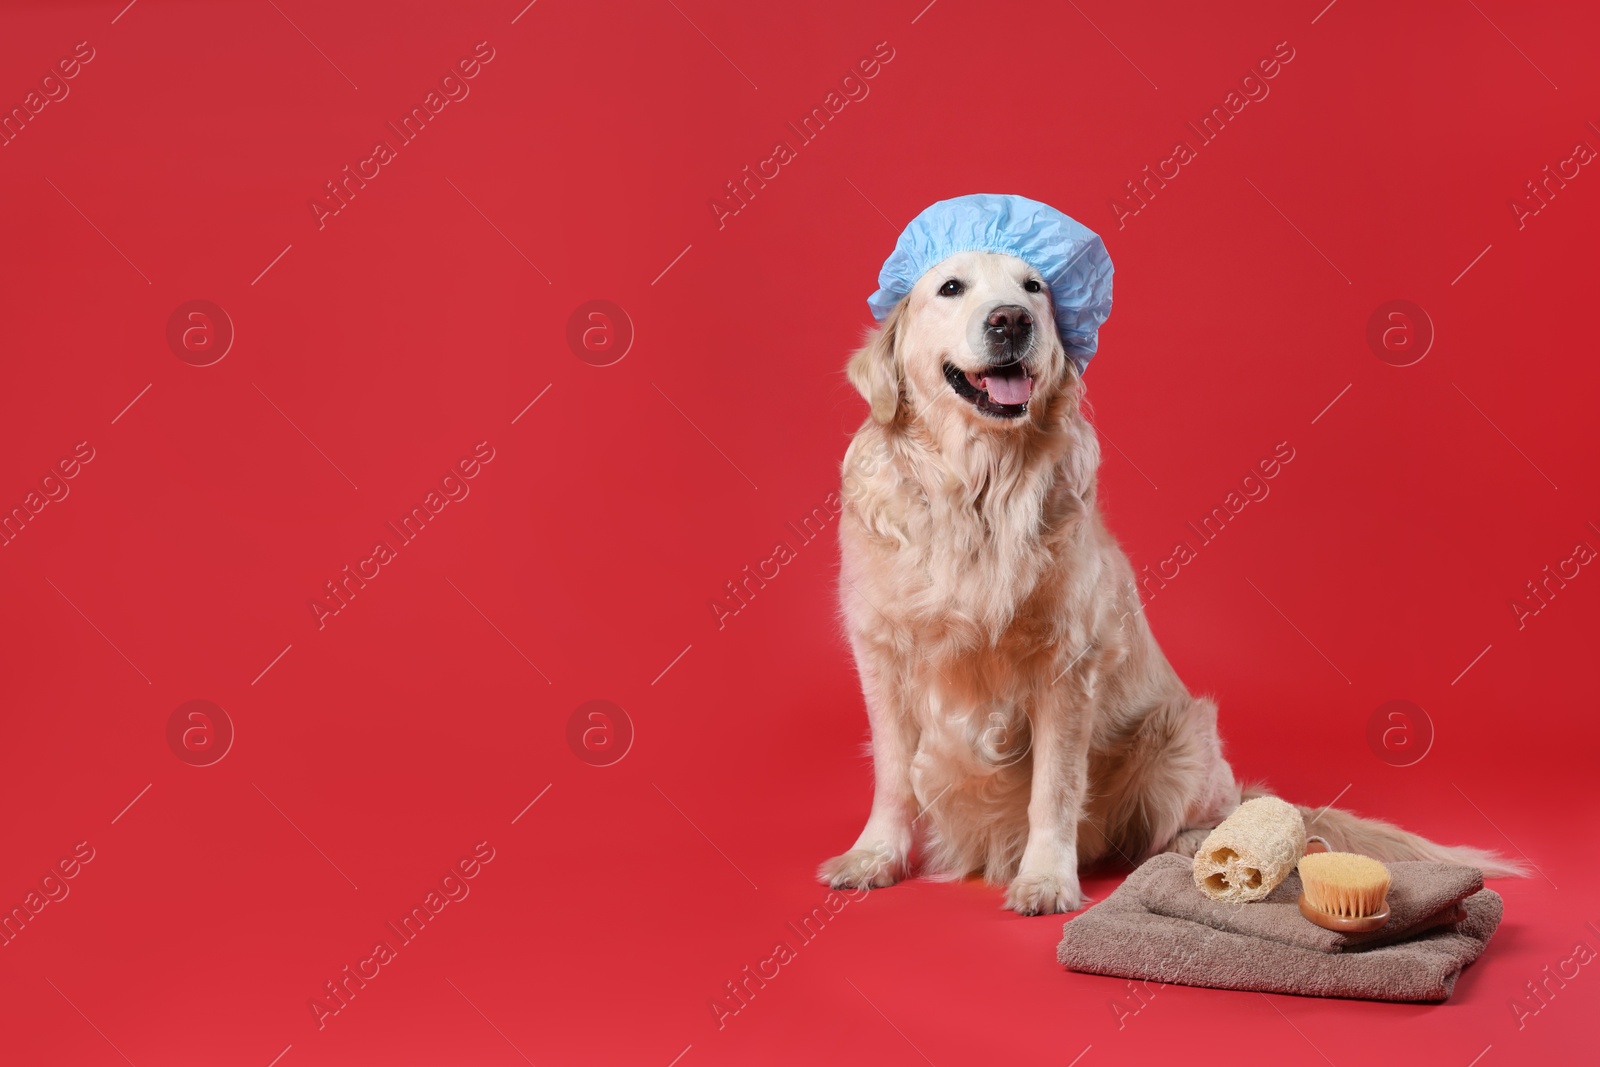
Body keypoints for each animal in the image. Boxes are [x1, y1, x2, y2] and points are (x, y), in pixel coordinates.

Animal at [819, 246, 1516, 915]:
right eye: (951, 288)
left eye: (1033, 288)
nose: (1011, 320)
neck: (978, 492)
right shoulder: (880, 655)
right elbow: (893, 776)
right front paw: (875, 857)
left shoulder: (1068, 668)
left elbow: (1054, 789)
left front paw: (1045, 879)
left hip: (1181, 735)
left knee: (1207, 819)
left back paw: (1201, 847)